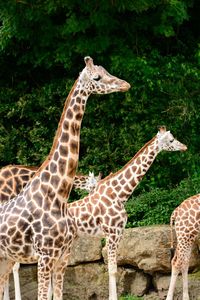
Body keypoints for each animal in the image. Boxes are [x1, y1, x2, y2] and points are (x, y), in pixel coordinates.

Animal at [0, 56, 130, 300]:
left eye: (107, 70)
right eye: (97, 77)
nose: (125, 84)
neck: (57, 195)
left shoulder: (61, 258)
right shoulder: (45, 257)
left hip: (6, 258)